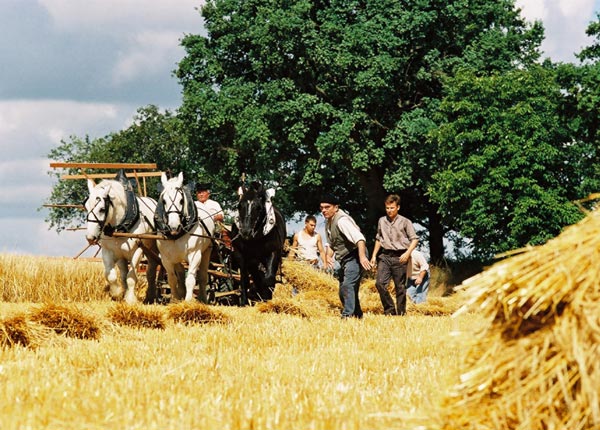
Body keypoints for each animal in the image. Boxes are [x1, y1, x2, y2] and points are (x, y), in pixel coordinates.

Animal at [84, 173, 161, 304]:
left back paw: (150, 296)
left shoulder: (137, 250)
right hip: (122, 255)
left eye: (102, 209)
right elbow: (111, 275)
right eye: (86, 207)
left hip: (151, 249)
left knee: (151, 270)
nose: (90, 237)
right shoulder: (108, 251)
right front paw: (117, 293)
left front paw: (130, 299)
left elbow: (132, 276)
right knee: (125, 273)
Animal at [155, 171, 216, 302]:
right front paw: (175, 299)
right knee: (181, 273)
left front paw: (188, 301)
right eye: (164, 201)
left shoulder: (194, 255)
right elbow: (172, 280)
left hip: (207, 251)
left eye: (181, 200)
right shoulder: (166, 258)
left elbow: (191, 279)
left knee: (202, 276)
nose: (173, 227)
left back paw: (203, 298)